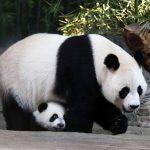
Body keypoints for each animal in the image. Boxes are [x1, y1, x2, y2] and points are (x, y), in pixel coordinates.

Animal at [0, 33, 148, 134]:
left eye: (139, 89)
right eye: (125, 90)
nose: (134, 106)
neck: (97, 56)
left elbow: (100, 104)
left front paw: (118, 123)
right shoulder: (79, 69)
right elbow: (83, 103)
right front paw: (77, 127)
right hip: (16, 83)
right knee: (17, 109)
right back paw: (20, 127)